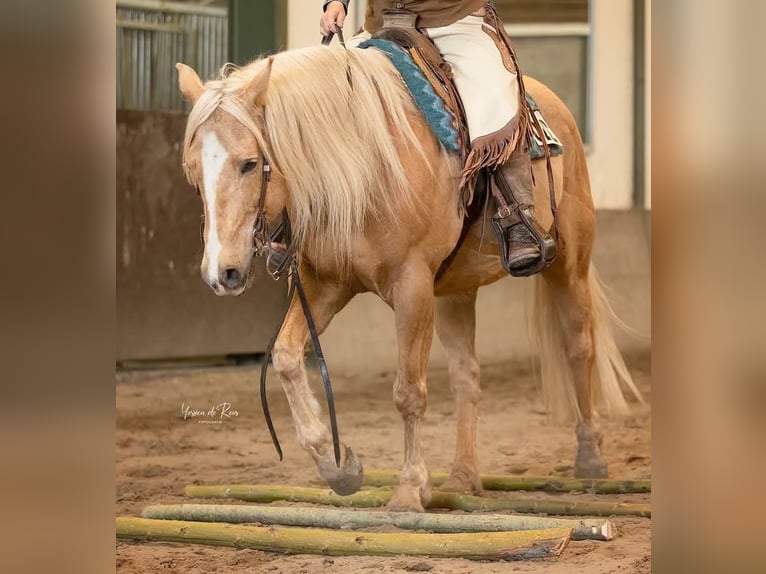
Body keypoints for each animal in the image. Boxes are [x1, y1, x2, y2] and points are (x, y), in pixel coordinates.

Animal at [175, 43, 642, 512]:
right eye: (192, 172)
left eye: (250, 164)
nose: (222, 273)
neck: (366, 165)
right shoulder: (325, 286)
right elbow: (286, 356)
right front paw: (339, 467)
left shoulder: (411, 287)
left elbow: (408, 392)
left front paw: (410, 488)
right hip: (455, 291)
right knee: (466, 375)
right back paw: (463, 477)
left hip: (569, 263)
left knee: (578, 346)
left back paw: (589, 458)